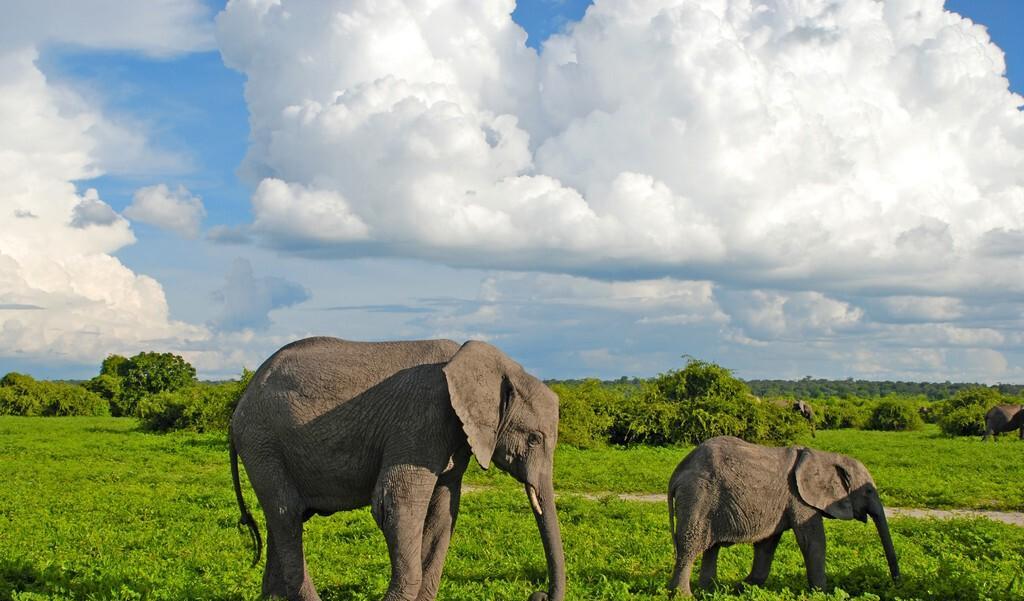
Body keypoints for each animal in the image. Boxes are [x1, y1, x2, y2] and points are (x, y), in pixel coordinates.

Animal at [230, 337, 569, 601]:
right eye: (535, 438)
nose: (538, 594)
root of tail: (242, 400)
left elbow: (443, 510)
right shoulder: (419, 421)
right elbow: (395, 506)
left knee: (282, 519)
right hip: (262, 442)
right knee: (286, 516)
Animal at [663, 438, 897, 597]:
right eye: (868, 491)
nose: (897, 585)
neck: (826, 456)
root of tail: (677, 473)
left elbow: (767, 545)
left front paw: (742, 588)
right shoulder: (799, 498)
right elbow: (813, 541)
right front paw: (823, 594)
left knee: (711, 547)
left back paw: (711, 591)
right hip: (698, 495)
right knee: (690, 545)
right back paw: (685, 596)